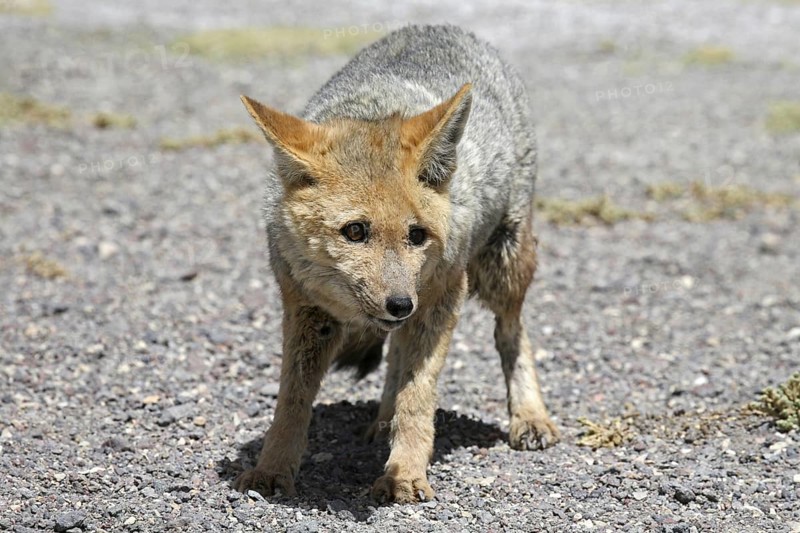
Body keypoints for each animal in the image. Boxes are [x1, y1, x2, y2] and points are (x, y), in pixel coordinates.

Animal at [234, 24, 559, 504]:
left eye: (417, 235)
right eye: (355, 232)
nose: (400, 304)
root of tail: (442, 26)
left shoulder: (443, 299)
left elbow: (418, 397)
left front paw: (403, 473)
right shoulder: (305, 309)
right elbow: (291, 402)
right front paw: (271, 470)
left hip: (501, 269)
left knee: (511, 333)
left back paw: (530, 416)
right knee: (397, 354)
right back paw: (382, 420)